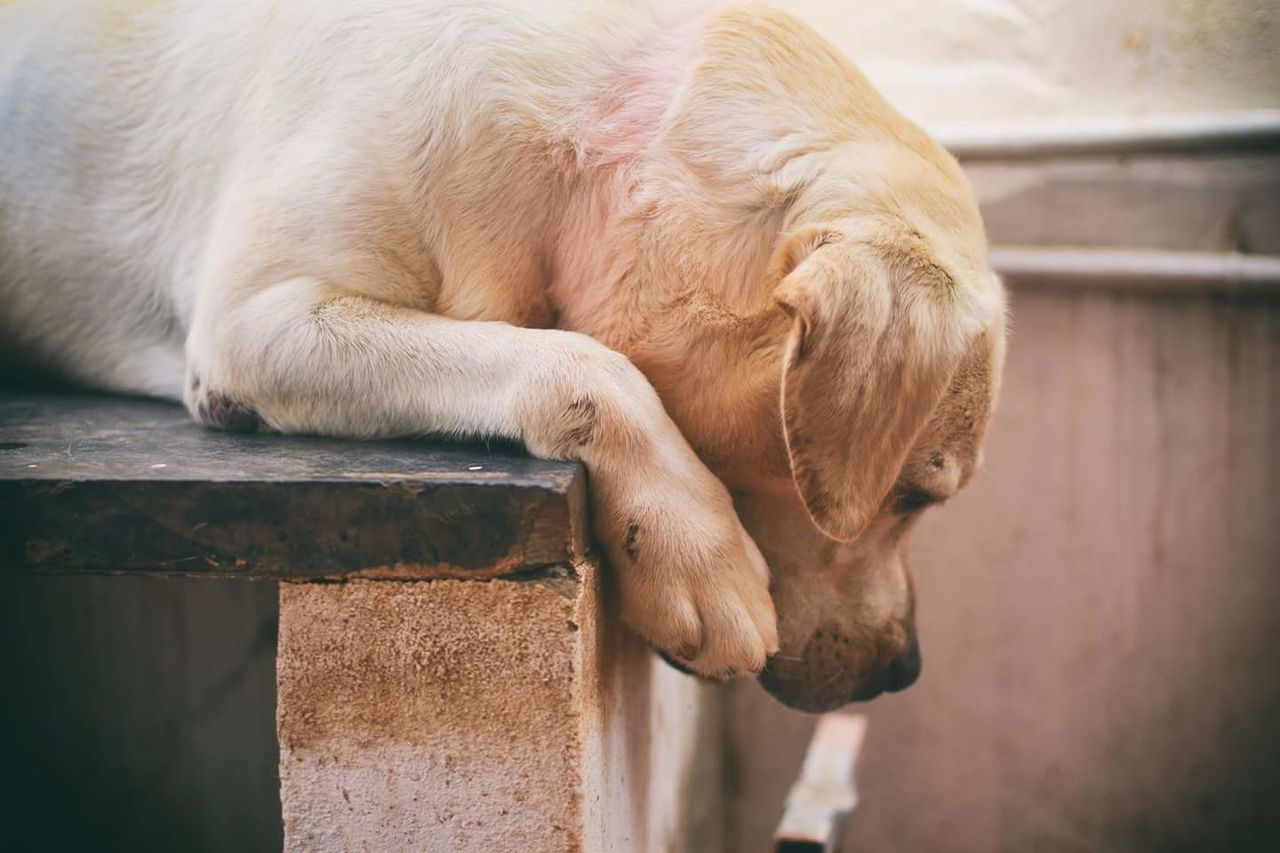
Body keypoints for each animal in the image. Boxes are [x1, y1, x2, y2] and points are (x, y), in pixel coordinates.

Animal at [0, 0, 1003, 712]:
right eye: (912, 498)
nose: (907, 669)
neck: (591, 134)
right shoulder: (258, 317)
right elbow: (582, 361)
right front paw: (694, 551)